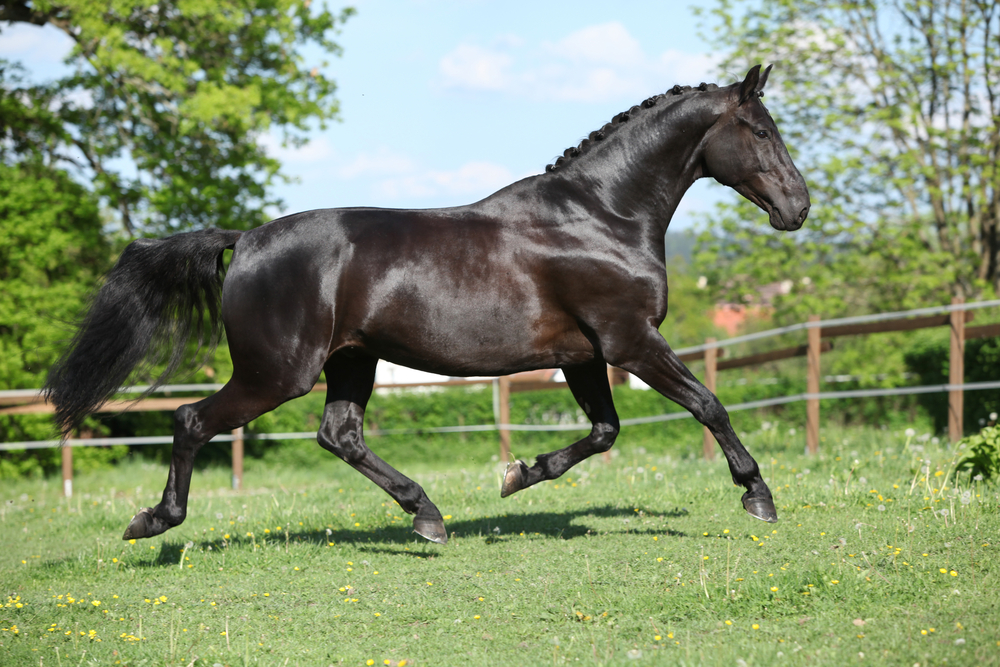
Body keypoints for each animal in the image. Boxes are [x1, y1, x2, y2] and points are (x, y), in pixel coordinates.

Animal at [45, 65, 809, 545]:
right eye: (762, 131)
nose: (798, 208)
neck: (601, 217)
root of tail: (247, 237)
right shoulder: (631, 340)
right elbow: (708, 404)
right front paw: (759, 497)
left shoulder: (585, 355)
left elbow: (603, 432)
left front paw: (517, 475)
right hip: (277, 372)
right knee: (191, 420)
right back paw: (153, 521)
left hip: (351, 361)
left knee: (340, 436)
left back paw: (429, 516)